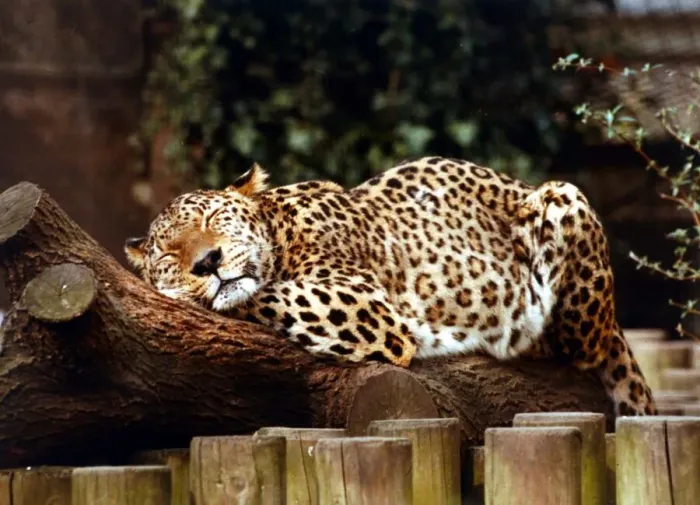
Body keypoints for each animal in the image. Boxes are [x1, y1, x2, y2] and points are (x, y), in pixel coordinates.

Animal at [125, 156, 656, 416]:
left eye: (214, 218)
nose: (208, 262)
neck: (282, 229)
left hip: (563, 196)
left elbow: (255, 295)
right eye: (170, 255)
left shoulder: (361, 304)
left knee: (579, 346)